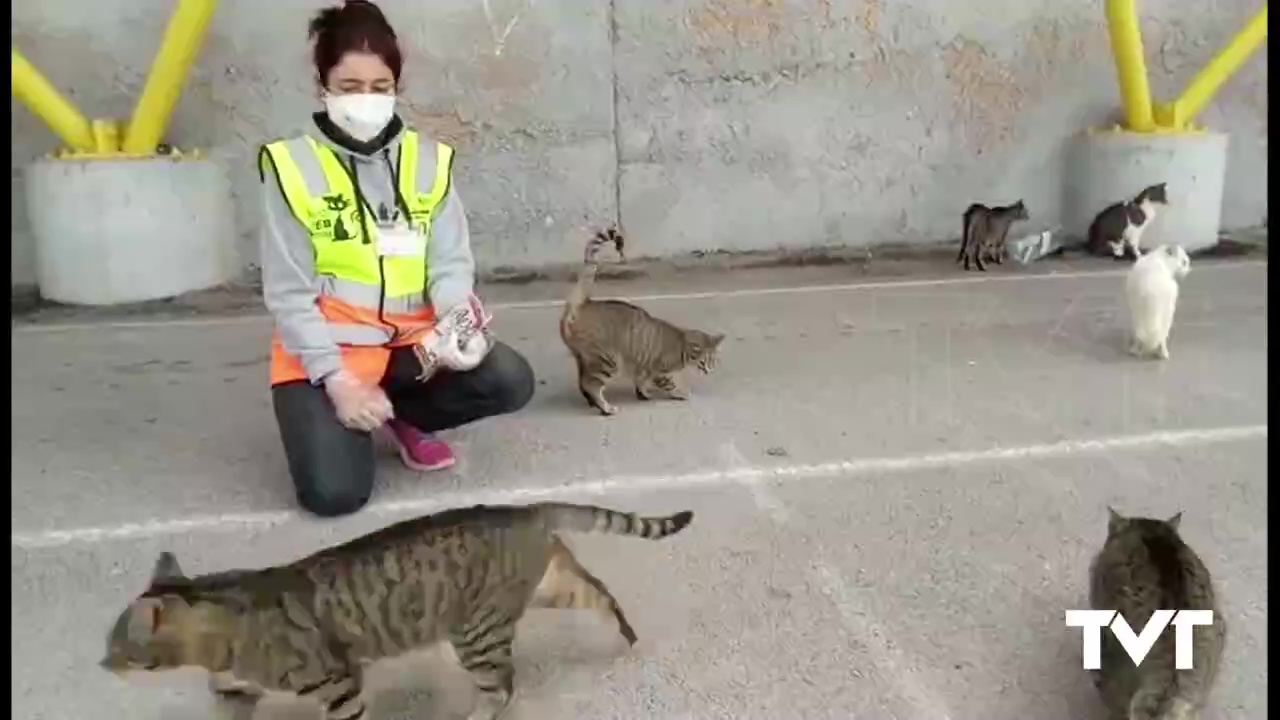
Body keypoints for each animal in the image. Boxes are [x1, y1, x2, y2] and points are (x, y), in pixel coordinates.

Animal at [101, 499, 701, 717]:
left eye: (116, 647)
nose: (102, 664)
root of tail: (523, 509)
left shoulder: (338, 681)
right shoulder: (236, 684)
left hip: (475, 632)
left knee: (501, 687)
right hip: (546, 586)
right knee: (597, 589)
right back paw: (624, 632)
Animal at [558, 224, 727, 415]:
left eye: (714, 360)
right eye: (709, 360)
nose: (711, 369)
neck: (682, 342)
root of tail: (584, 302)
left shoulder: (643, 366)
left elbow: (641, 381)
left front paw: (643, 392)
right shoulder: (660, 370)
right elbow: (668, 383)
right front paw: (680, 392)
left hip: (585, 359)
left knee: (582, 383)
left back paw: (592, 402)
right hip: (607, 361)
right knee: (590, 385)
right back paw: (605, 407)